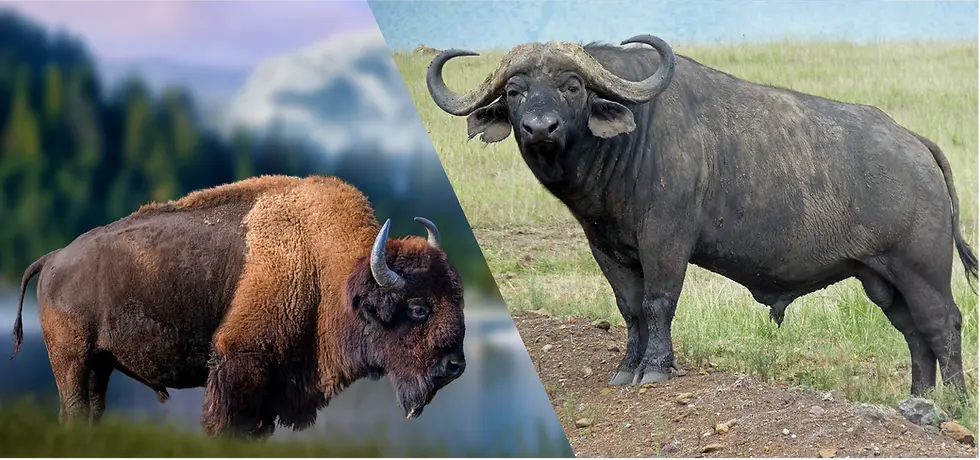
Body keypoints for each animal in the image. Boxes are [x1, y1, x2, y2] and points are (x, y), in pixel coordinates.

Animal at [11, 175, 466, 438]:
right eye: (419, 307)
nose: (455, 366)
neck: (324, 267)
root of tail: (53, 258)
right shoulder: (239, 364)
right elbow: (225, 424)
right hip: (72, 360)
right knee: (74, 411)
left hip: (98, 366)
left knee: (89, 412)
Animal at [425, 35, 978, 396]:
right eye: (515, 91)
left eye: (572, 86)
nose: (541, 128)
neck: (630, 141)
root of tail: (915, 143)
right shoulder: (606, 248)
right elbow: (629, 308)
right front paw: (626, 368)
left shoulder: (666, 241)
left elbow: (657, 304)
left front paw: (655, 369)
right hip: (881, 280)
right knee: (914, 333)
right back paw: (919, 400)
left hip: (922, 270)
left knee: (942, 324)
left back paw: (951, 404)